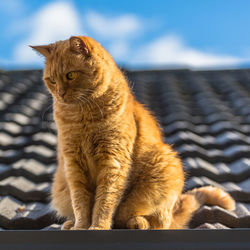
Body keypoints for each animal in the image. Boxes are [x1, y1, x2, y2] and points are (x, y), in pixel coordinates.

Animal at [30, 36, 235, 229]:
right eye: (51, 80)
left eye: (70, 75)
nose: (60, 93)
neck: (82, 117)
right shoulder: (73, 164)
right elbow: (80, 202)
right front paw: (80, 226)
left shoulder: (114, 161)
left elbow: (104, 201)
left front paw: (98, 226)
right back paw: (70, 223)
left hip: (165, 166)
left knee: (156, 222)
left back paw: (138, 222)